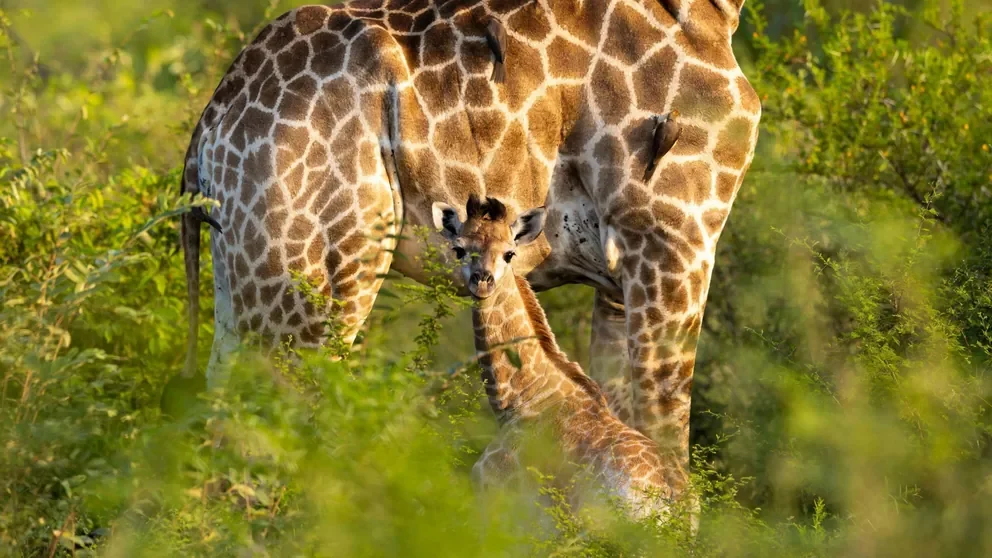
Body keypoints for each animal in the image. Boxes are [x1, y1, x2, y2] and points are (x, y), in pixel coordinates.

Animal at [180, 0, 761, 475]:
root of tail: (210, 124)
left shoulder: (619, 283)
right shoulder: (673, 240)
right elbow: (669, 453)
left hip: (246, 277)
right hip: (316, 279)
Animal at [432, 194, 693, 526]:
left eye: (509, 253)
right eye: (459, 249)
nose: (482, 282)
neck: (524, 396)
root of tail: (673, 499)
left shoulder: (498, 500)